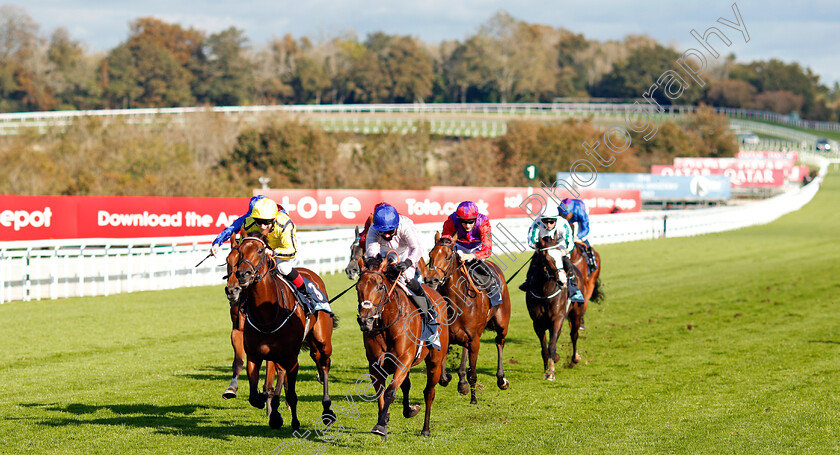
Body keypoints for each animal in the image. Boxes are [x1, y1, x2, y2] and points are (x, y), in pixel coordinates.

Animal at [230, 233, 338, 430]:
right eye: (240, 250)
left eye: (260, 250)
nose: (243, 274)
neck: (266, 315)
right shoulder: (254, 355)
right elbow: (254, 396)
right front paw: (271, 409)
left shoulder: (291, 357)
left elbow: (292, 395)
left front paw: (293, 421)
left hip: (323, 340)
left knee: (324, 363)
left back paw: (327, 410)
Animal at [354, 256, 450, 442]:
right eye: (358, 287)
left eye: (379, 286)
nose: (365, 320)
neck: (386, 323)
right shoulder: (375, 365)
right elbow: (381, 393)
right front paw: (384, 421)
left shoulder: (403, 360)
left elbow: (390, 392)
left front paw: (380, 426)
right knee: (406, 385)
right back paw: (409, 410)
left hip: (434, 361)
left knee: (429, 392)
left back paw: (425, 429)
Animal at [426, 233, 512, 404]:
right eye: (430, 255)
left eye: (448, 256)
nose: (431, 280)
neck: (458, 303)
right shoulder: (448, 337)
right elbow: (443, 378)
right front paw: (456, 381)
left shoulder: (475, 340)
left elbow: (473, 373)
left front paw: (473, 399)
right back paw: (462, 381)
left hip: (502, 323)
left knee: (499, 342)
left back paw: (501, 379)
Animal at [524, 235, 584, 382]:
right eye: (547, 258)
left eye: (560, 257)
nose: (562, 281)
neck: (544, 292)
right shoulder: (537, 323)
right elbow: (544, 347)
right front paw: (547, 368)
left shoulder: (557, 319)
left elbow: (552, 345)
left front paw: (551, 372)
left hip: (576, 313)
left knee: (574, 334)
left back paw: (575, 358)